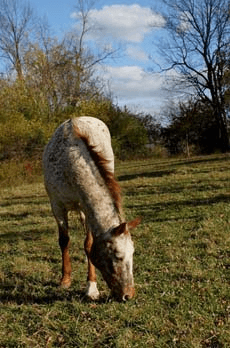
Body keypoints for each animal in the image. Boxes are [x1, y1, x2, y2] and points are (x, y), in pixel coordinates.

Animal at [43, 117, 140, 302]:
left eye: (133, 253)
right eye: (118, 256)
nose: (128, 295)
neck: (70, 163)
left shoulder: (86, 208)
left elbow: (88, 244)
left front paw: (91, 287)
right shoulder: (57, 206)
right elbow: (64, 240)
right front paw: (65, 279)